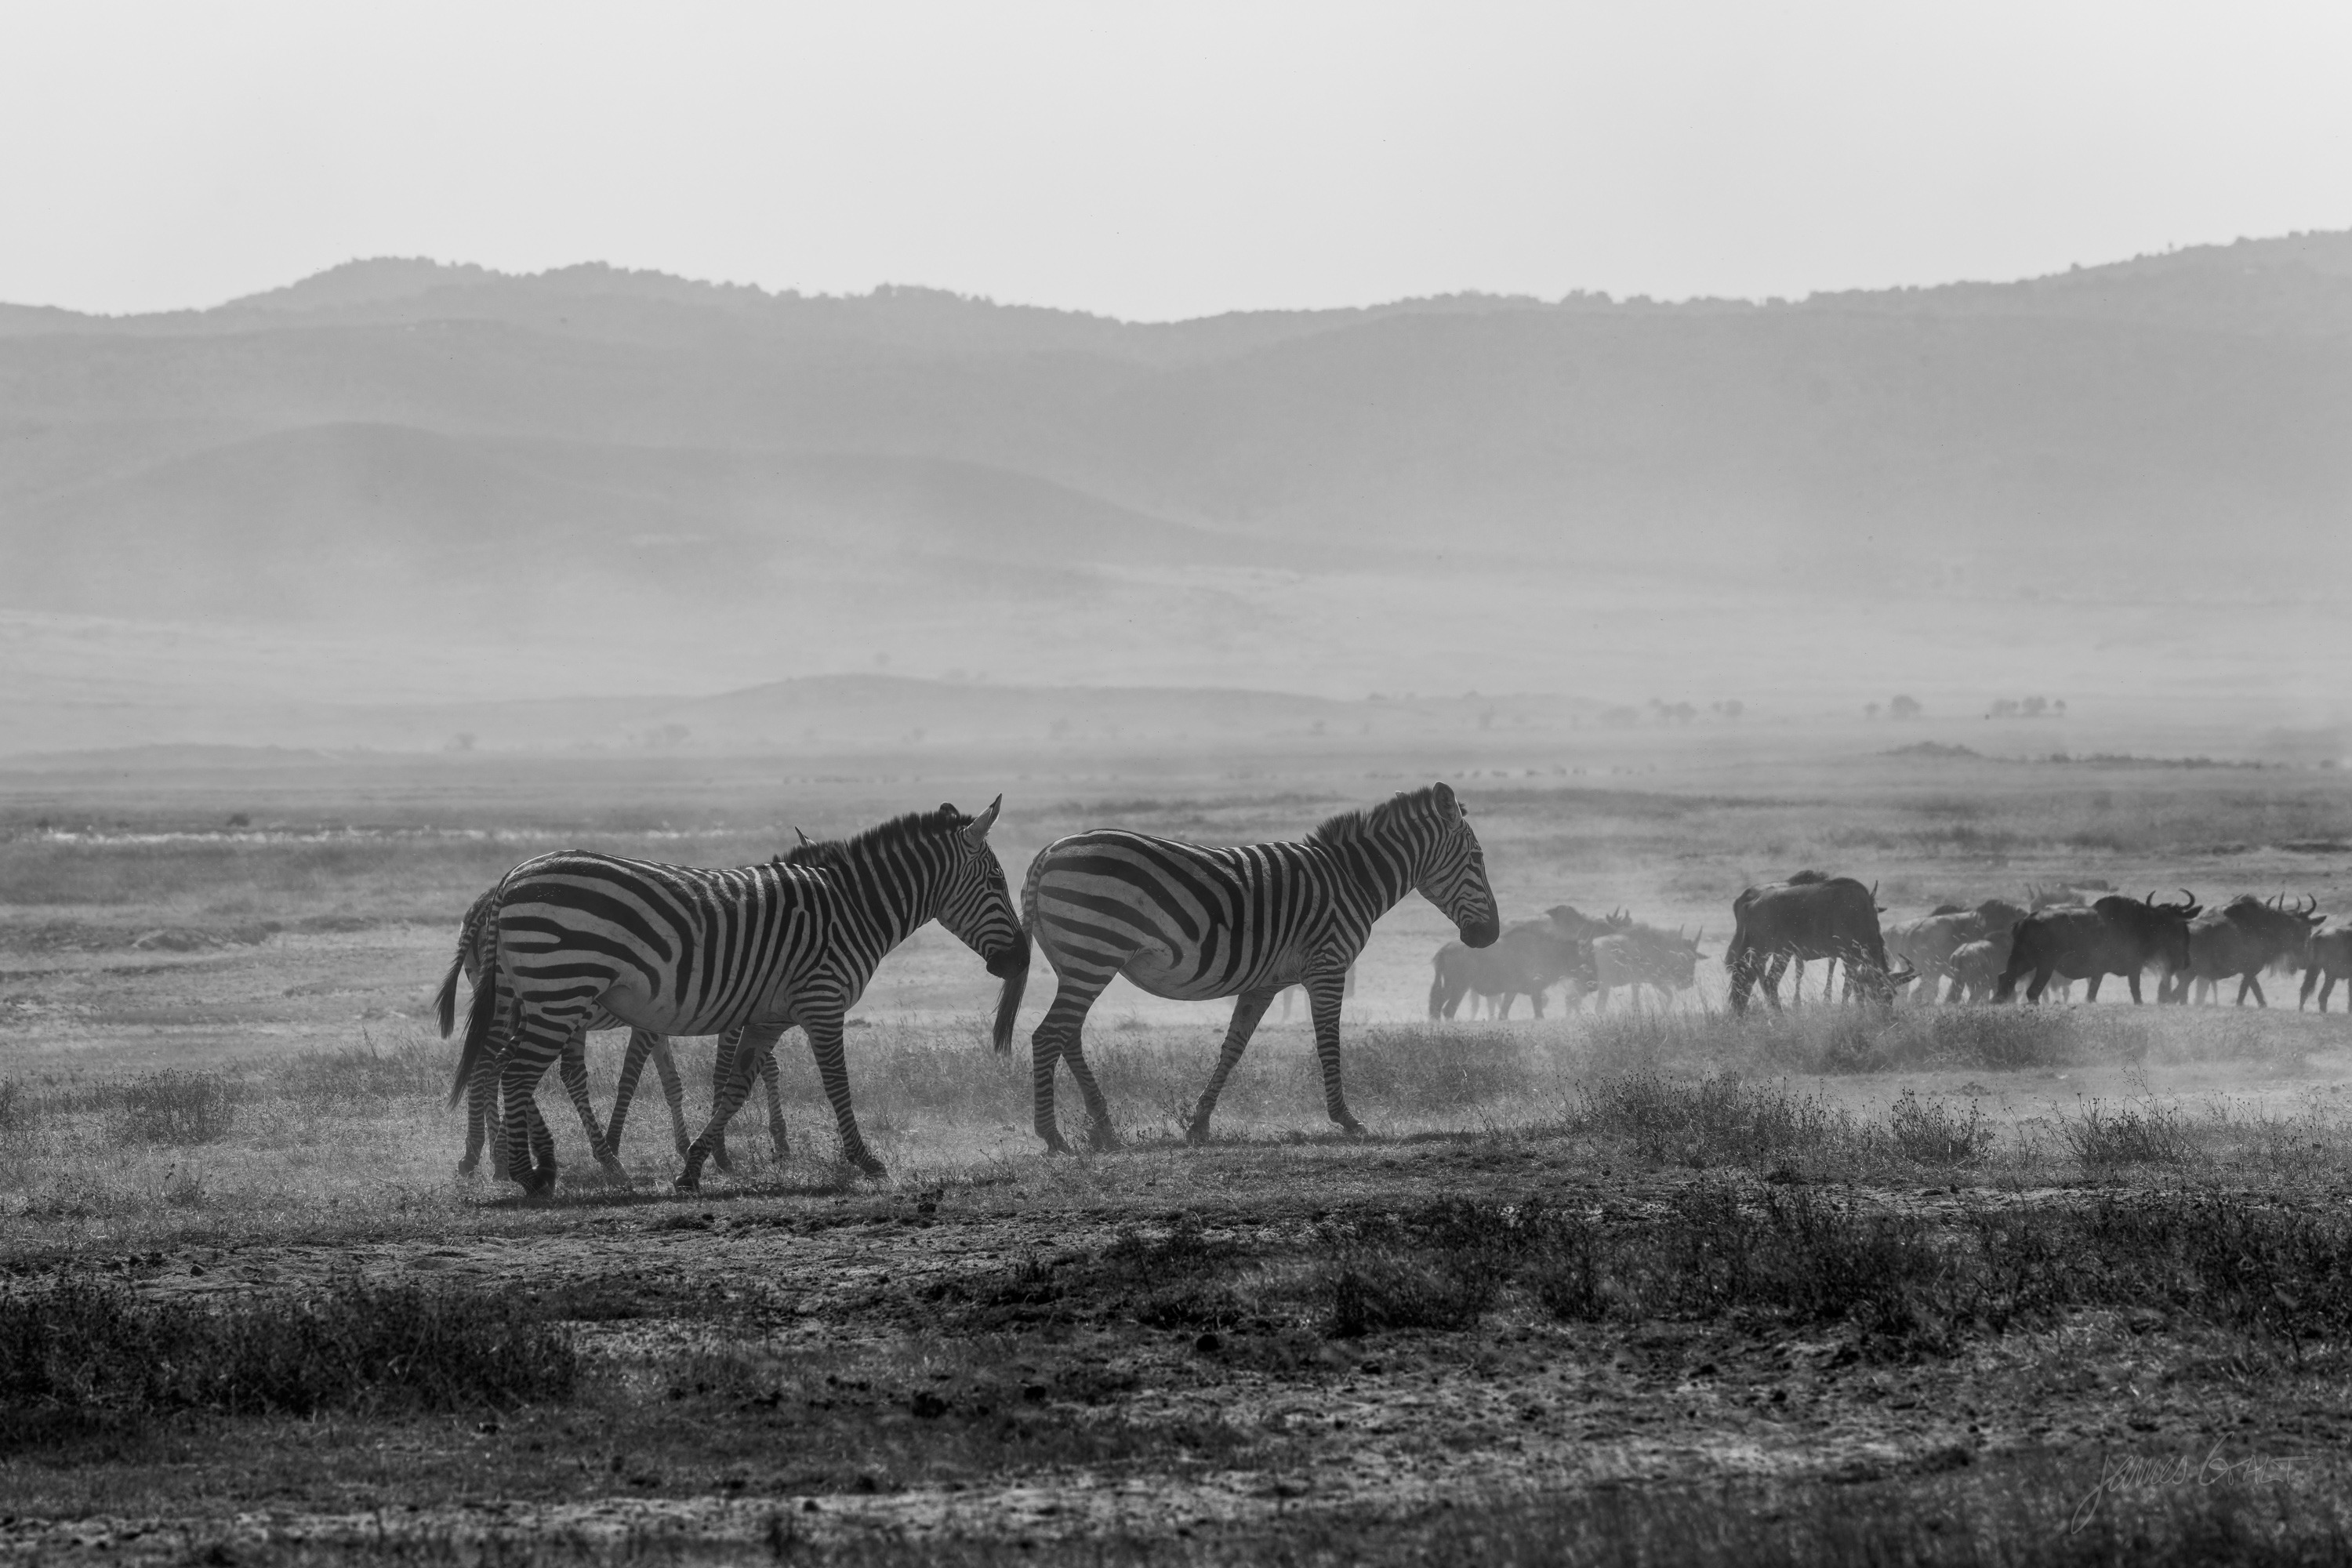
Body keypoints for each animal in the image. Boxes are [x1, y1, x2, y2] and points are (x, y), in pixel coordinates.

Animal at [444, 799, 1026, 1193]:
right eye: (998, 883)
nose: (1020, 959)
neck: (853, 908)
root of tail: (509, 879)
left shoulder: (767, 1016)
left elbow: (735, 1088)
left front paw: (696, 1165)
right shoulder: (822, 1001)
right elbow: (836, 1084)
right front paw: (866, 1160)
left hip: (539, 995)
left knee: (502, 1066)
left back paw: (526, 1165)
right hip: (560, 989)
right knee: (514, 1071)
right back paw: (527, 1174)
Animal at [1018, 782, 1499, 1152]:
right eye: (1477, 859)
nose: (1490, 936)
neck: (1351, 879)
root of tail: (1048, 853)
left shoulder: (1264, 983)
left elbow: (1233, 1047)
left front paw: (1199, 1125)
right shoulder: (1328, 966)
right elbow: (1329, 1042)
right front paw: (1346, 1119)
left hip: (1077, 962)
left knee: (1068, 1036)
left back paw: (1103, 1127)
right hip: (1094, 953)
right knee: (1048, 1036)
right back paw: (1053, 1137)